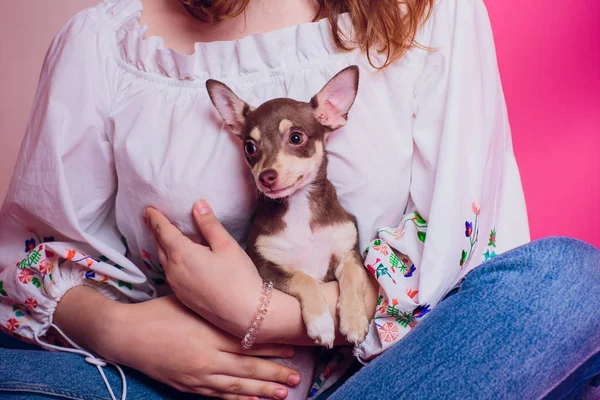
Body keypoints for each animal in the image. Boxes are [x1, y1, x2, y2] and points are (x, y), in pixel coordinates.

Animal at [207, 66, 370, 396]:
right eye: (250, 148)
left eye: (296, 138)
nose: (266, 177)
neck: (299, 208)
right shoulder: (265, 267)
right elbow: (304, 277)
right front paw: (321, 322)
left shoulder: (348, 253)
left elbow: (354, 275)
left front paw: (354, 318)